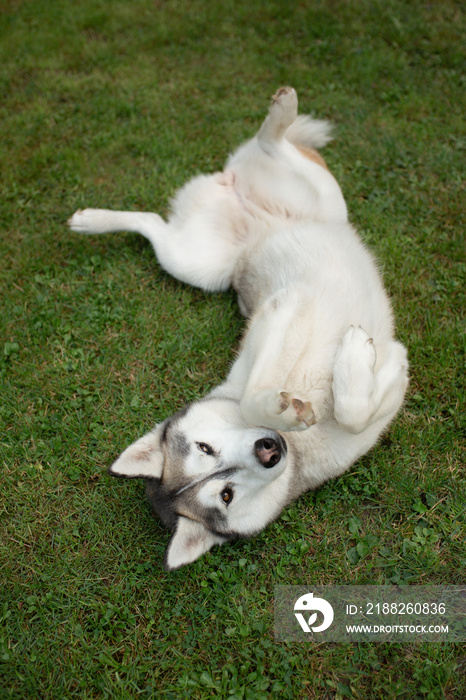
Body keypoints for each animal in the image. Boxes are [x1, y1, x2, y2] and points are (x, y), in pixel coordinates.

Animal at [68, 87, 408, 568]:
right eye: (225, 494)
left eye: (205, 448)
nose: (269, 450)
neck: (300, 447)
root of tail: (238, 201)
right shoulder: (278, 315)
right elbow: (351, 407)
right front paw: (350, 368)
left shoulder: (278, 310)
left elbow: (260, 399)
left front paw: (343, 366)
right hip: (202, 265)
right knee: (153, 223)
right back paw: (93, 221)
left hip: (312, 203)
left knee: (271, 147)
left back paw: (281, 112)